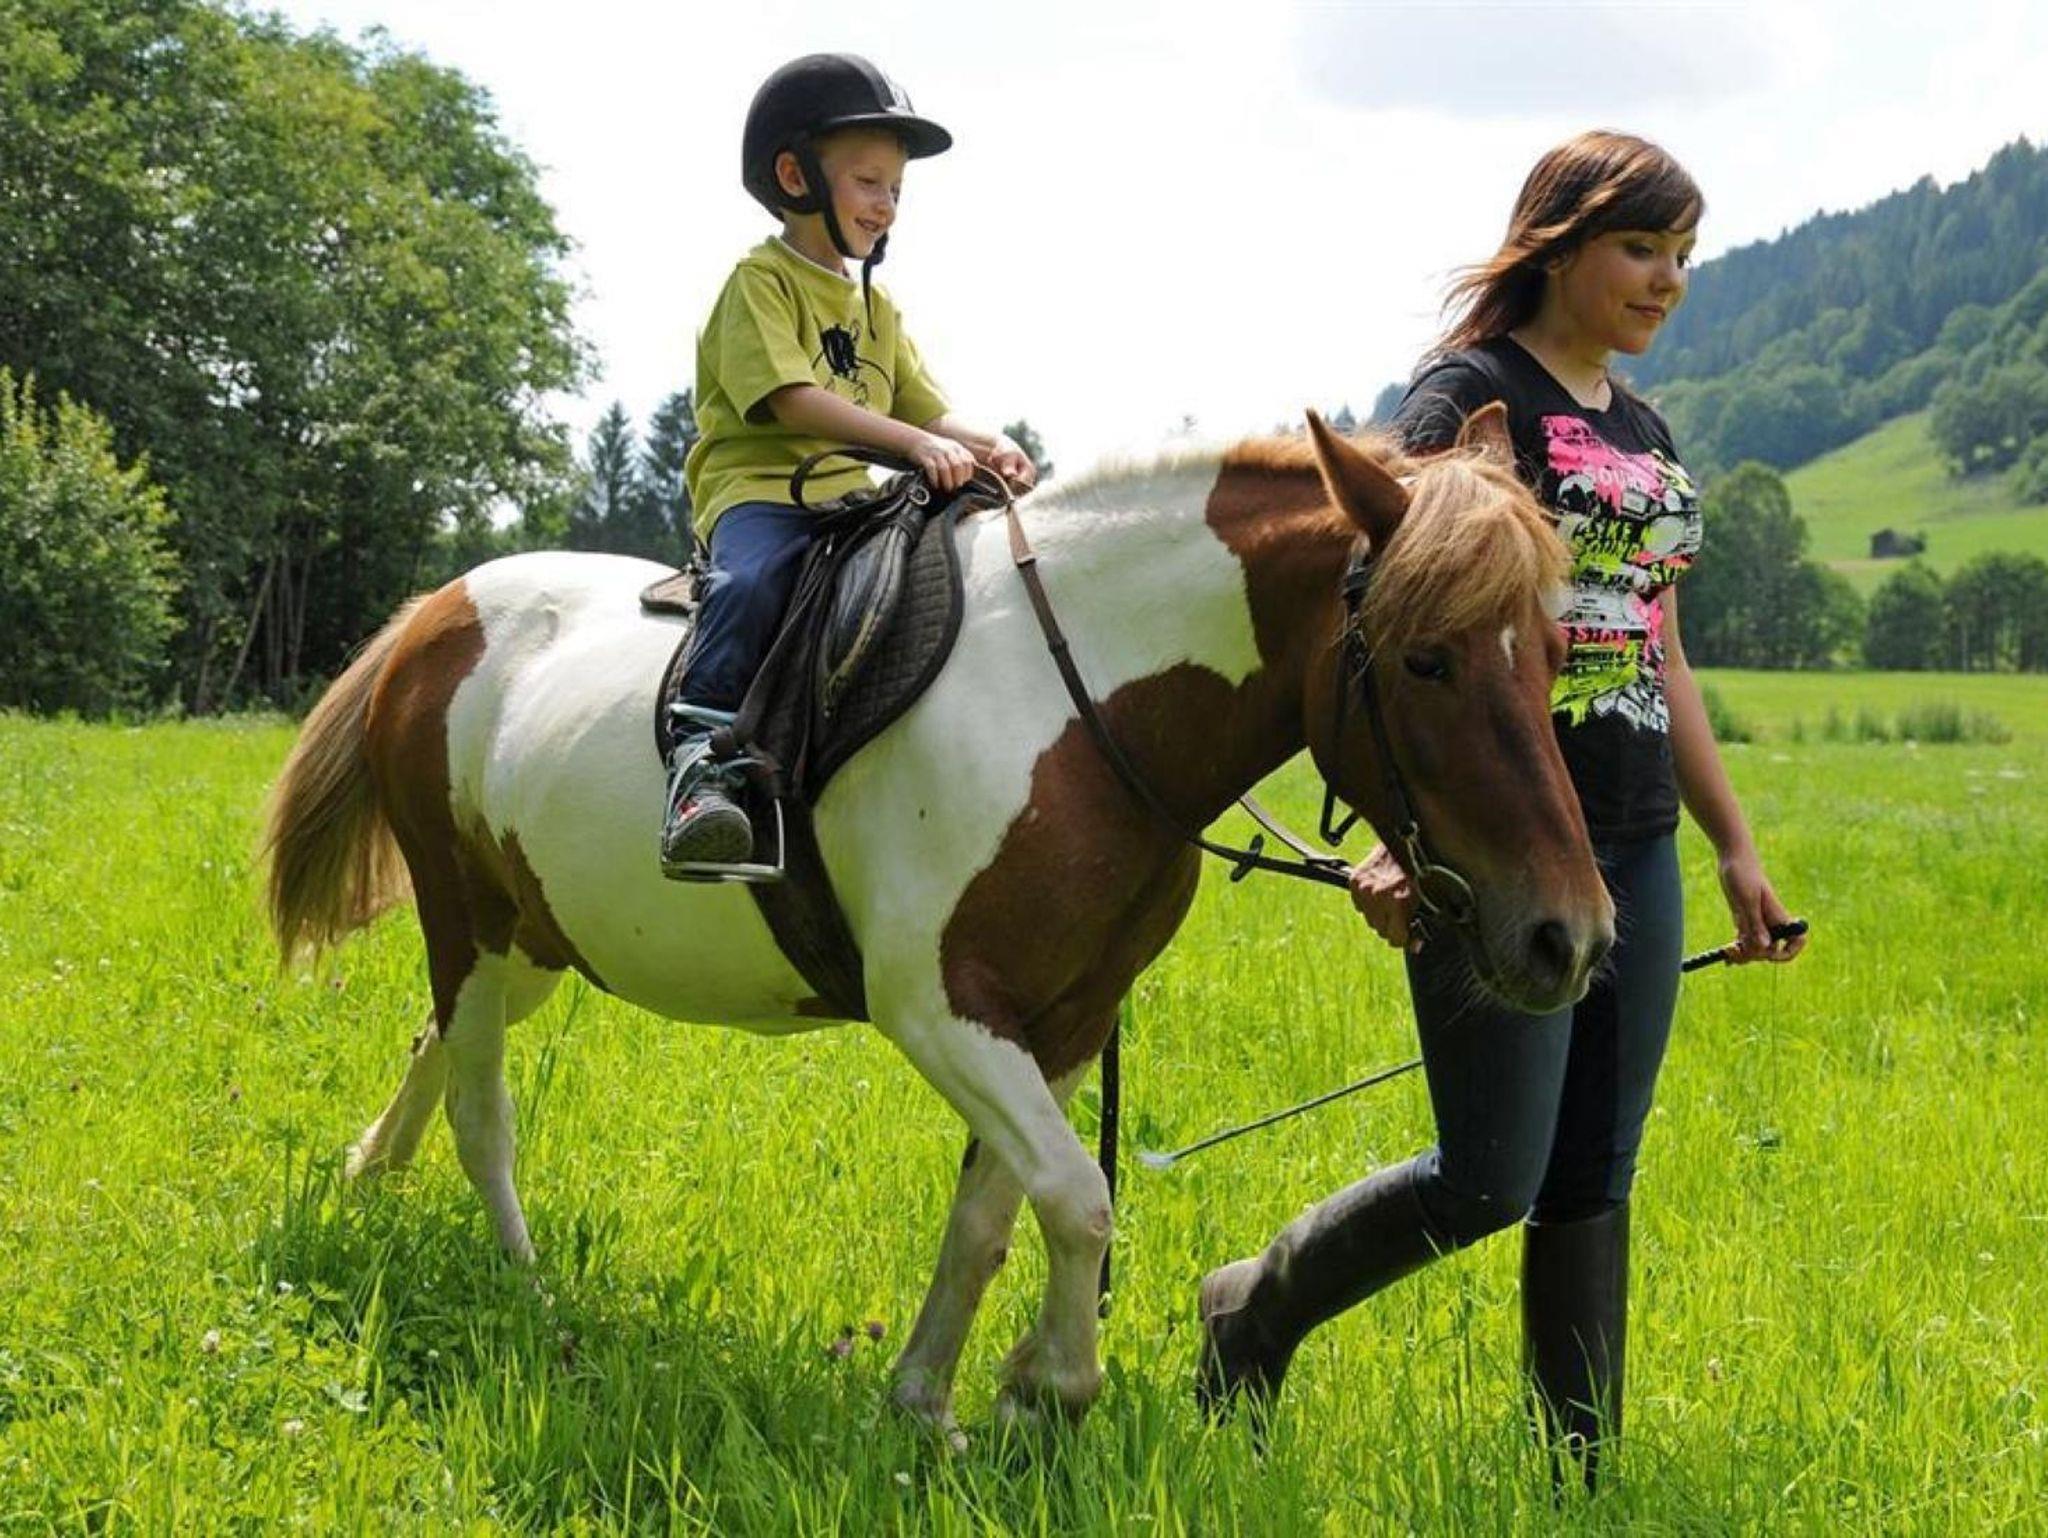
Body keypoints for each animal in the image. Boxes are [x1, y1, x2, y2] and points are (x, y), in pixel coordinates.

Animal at [262, 405, 1614, 1439]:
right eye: (1426, 658)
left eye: (1557, 651)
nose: (1572, 936)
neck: (1071, 704)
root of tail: (436, 609)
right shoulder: (939, 1006)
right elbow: (1076, 1196)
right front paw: (1047, 1384)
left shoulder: (1062, 1020)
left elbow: (990, 1217)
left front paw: (926, 1398)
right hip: (468, 923)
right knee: (480, 1105)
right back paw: (525, 1287)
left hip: (533, 936)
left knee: (434, 1049)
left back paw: (369, 1173)